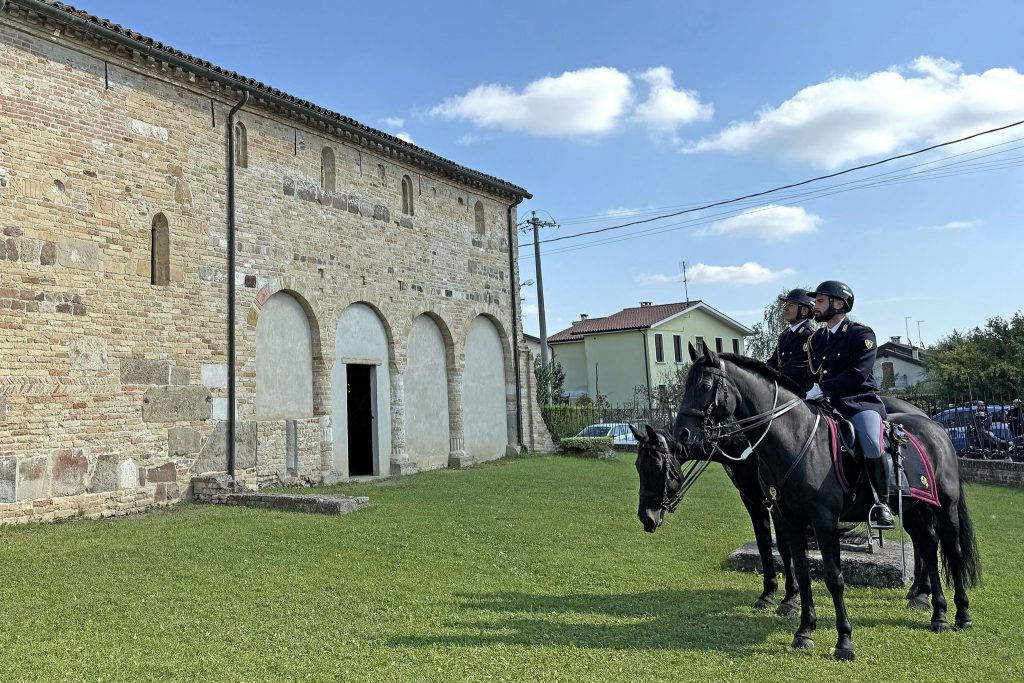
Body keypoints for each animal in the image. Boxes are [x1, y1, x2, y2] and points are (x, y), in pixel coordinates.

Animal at [669, 345, 978, 660]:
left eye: (705, 385)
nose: (680, 434)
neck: (795, 439)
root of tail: (936, 427)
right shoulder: (786, 516)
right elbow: (800, 570)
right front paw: (803, 629)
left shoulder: (824, 521)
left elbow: (833, 577)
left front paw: (844, 641)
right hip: (915, 509)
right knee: (927, 547)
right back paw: (937, 613)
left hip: (946, 507)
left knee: (952, 551)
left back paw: (960, 614)